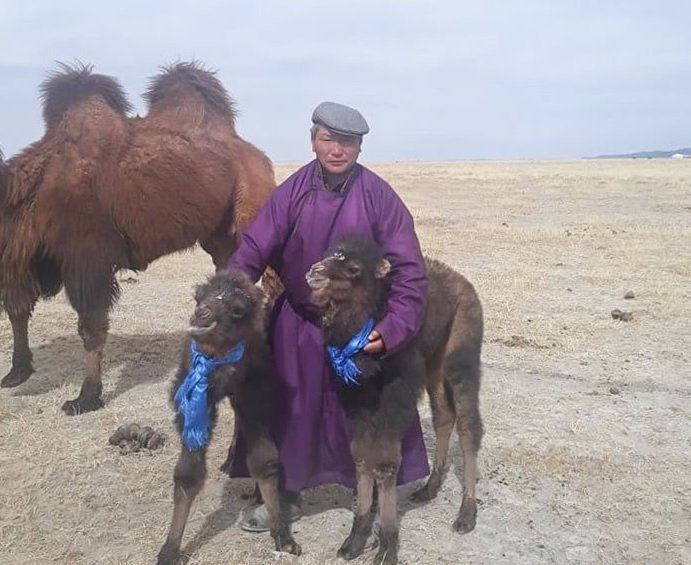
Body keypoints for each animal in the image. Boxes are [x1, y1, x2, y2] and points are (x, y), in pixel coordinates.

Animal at [0, 61, 277, 415]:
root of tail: (258, 156)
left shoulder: (86, 259)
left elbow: (90, 327)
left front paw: (86, 397)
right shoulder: (21, 259)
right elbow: (17, 308)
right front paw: (17, 371)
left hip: (252, 209)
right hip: (219, 236)